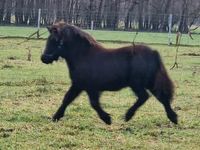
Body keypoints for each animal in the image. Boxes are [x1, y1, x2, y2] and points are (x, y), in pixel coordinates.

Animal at [41, 22, 178, 125]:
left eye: (55, 40)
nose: (43, 58)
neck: (83, 55)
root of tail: (153, 52)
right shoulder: (79, 85)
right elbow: (67, 99)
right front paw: (56, 117)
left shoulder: (87, 87)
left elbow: (92, 103)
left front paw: (107, 119)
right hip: (149, 82)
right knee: (162, 97)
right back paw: (173, 118)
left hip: (137, 84)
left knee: (144, 97)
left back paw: (128, 116)